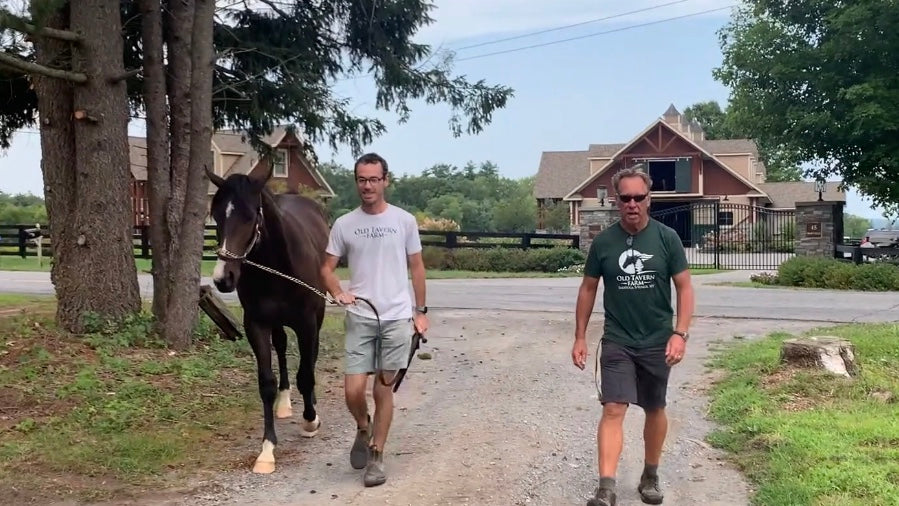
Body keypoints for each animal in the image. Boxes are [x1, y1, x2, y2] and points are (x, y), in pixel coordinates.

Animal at [206, 165, 328, 474]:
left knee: (311, 358)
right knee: (282, 349)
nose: (223, 279)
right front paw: (267, 450)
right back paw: (284, 403)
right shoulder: (256, 325)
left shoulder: (307, 323)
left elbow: (306, 374)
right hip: (277, 324)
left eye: (250, 215)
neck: (279, 266)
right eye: (216, 216)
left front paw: (310, 420)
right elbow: (266, 383)